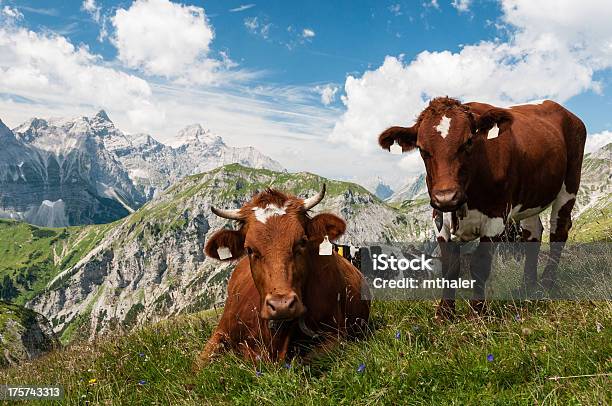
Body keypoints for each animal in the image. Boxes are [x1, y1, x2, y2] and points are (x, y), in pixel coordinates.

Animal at [194, 186, 370, 366]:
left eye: (302, 241)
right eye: (249, 249)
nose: (281, 305)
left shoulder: (336, 335)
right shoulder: (220, 333)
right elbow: (198, 365)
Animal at [380, 97, 584, 318]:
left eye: (468, 141)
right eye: (422, 149)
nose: (447, 196)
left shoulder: (497, 215)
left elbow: (480, 264)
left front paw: (478, 312)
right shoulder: (439, 217)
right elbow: (450, 266)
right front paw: (444, 313)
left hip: (570, 182)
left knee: (559, 230)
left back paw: (546, 284)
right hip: (529, 198)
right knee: (533, 232)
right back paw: (527, 286)